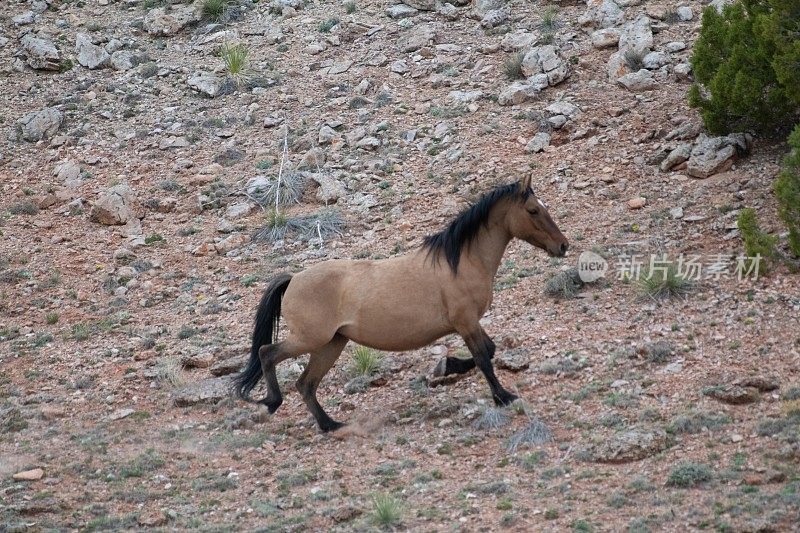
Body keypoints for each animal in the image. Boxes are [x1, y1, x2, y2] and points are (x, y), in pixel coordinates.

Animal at [233, 176, 568, 432]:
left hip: (331, 344)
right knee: (268, 354)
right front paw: (503, 396)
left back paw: (331, 425)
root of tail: (293, 279)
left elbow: (489, 350)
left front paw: (448, 366)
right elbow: (484, 357)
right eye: (533, 210)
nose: (563, 246)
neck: (462, 262)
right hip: (311, 339)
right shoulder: (466, 322)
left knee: (306, 384)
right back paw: (273, 403)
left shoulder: (468, 322)